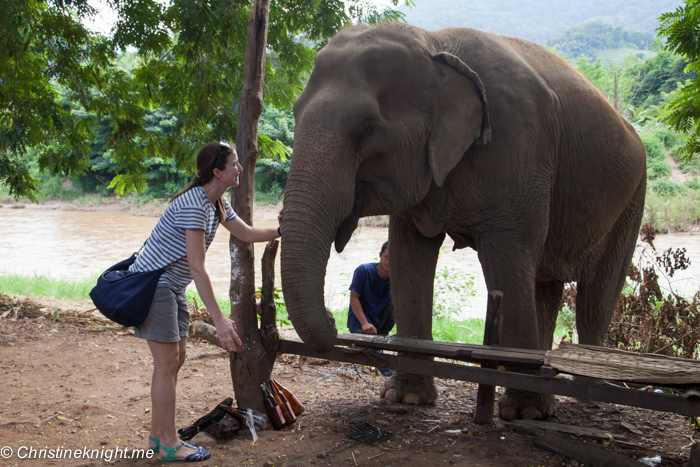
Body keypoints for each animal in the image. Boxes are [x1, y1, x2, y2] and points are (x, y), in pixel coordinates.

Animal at [278, 22, 644, 424]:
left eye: (367, 129)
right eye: (294, 112)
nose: (332, 318)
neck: (434, 42)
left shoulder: (518, 146)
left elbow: (508, 261)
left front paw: (524, 412)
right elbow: (408, 256)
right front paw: (405, 398)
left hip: (632, 197)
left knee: (597, 293)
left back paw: (587, 397)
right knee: (546, 285)